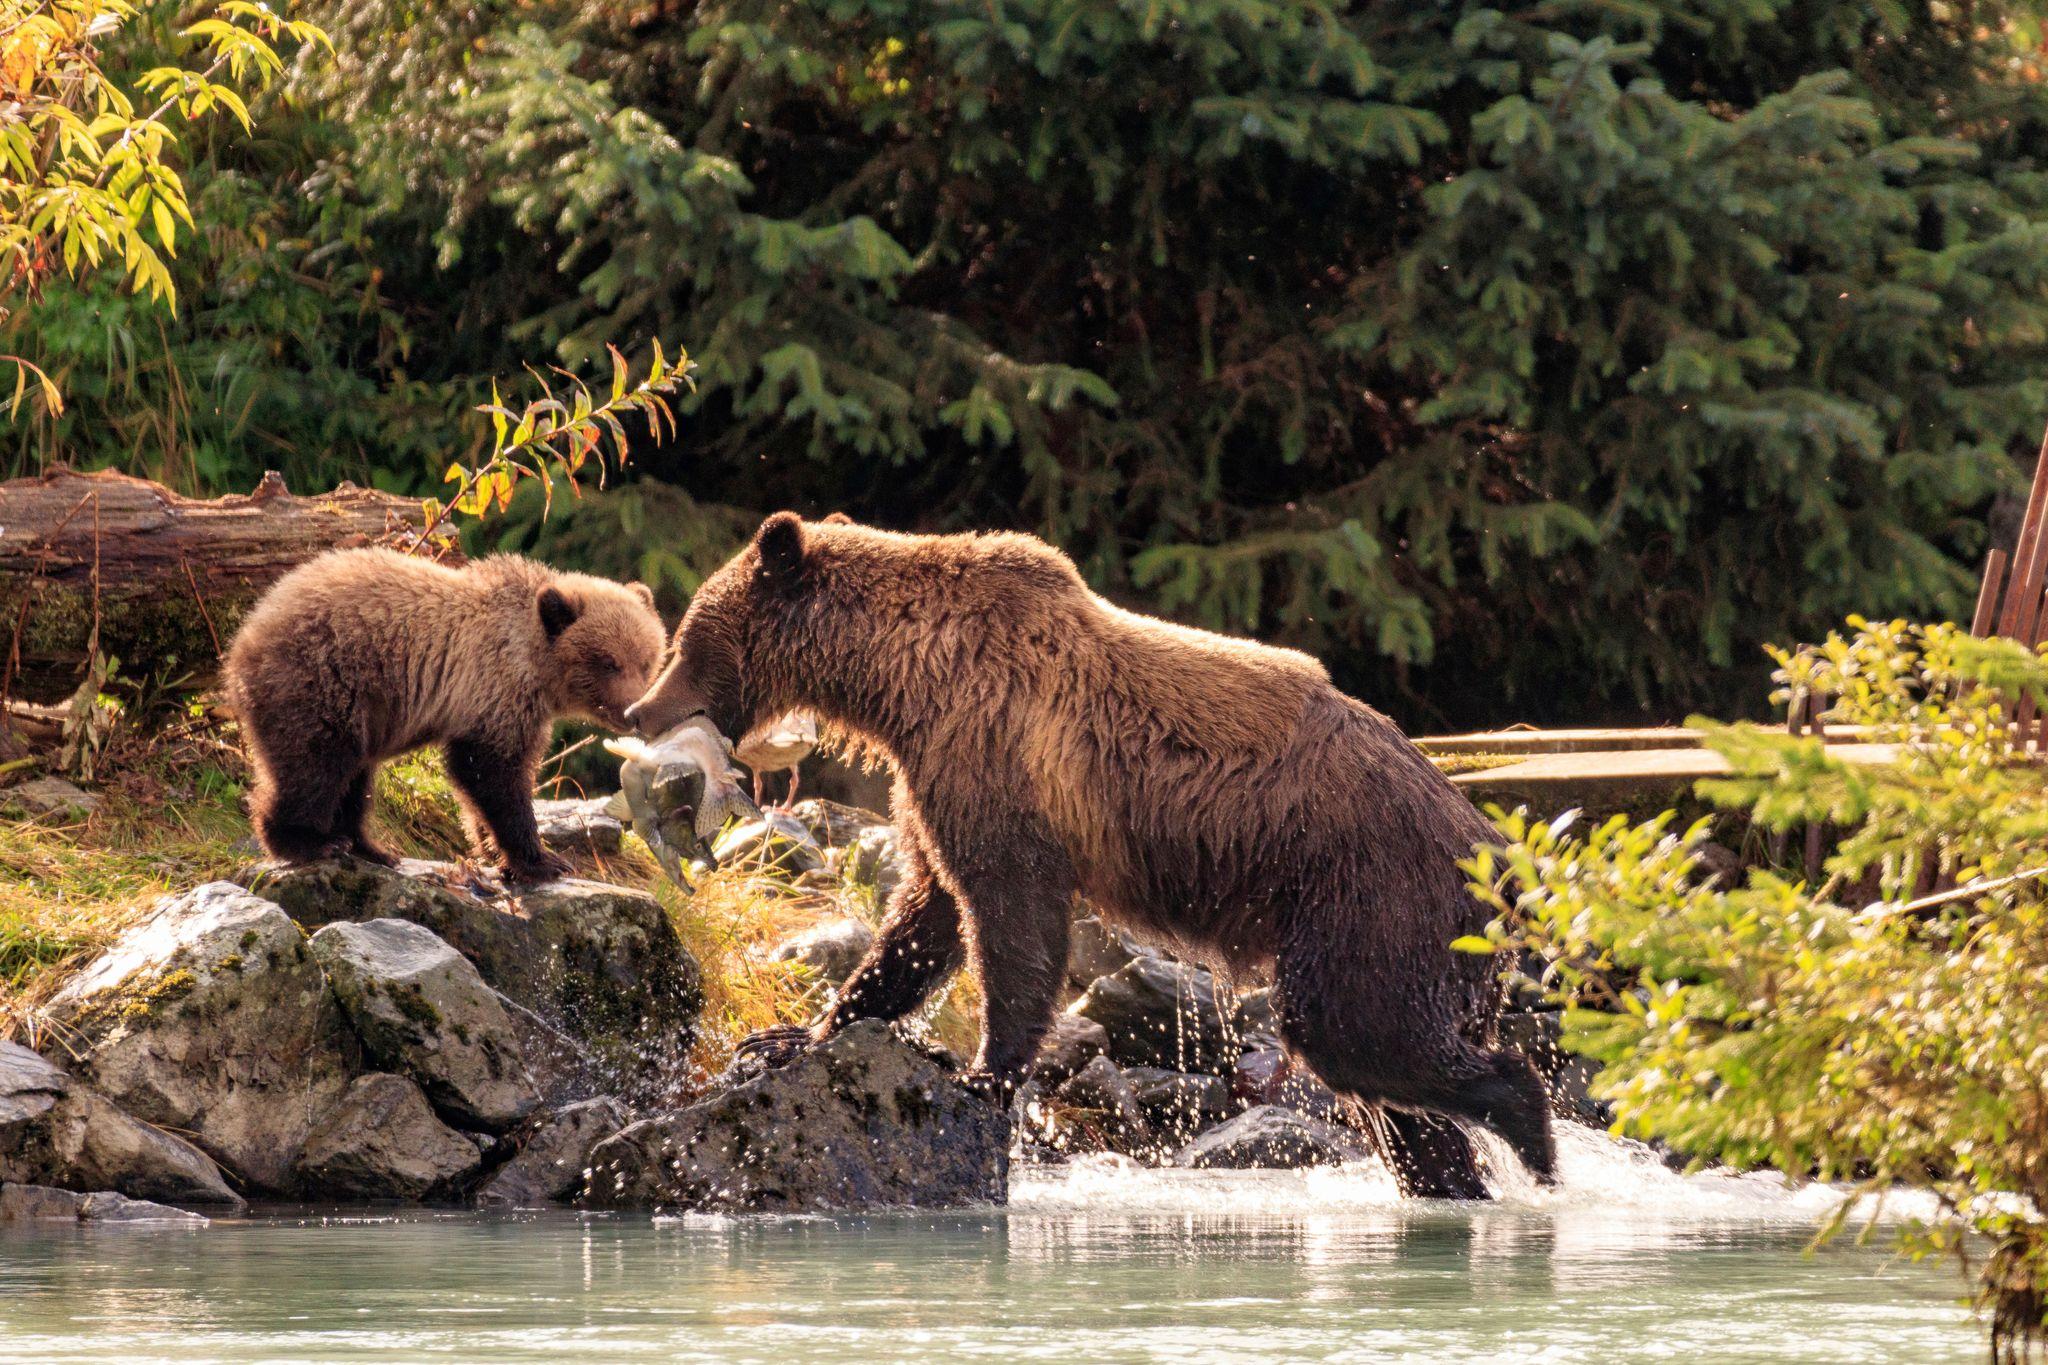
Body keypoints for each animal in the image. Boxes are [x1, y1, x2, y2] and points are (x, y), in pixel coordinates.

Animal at [231, 548, 663, 879]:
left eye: (646, 660)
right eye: (608, 663)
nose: (633, 711)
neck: (536, 665)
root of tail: (248, 630)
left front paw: (493, 849)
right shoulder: (495, 688)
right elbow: (492, 773)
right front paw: (543, 859)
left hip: (362, 710)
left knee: (355, 777)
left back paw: (368, 846)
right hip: (324, 680)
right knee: (314, 766)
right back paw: (308, 841)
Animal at [622, 511, 1548, 1195]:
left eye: (690, 636)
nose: (640, 709)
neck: (903, 680)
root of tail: (1500, 852)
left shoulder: (993, 751)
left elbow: (1008, 912)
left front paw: (983, 1073)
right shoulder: (934, 774)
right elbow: (922, 917)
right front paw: (792, 1035)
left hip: (1373, 893)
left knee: (1357, 1030)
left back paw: (1530, 1132)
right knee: (1391, 1094)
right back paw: (1455, 1178)